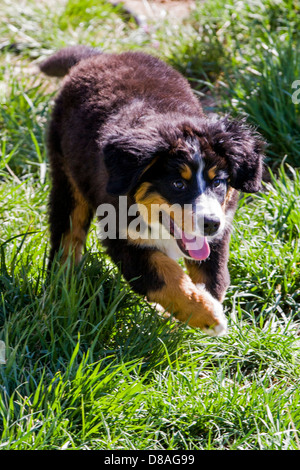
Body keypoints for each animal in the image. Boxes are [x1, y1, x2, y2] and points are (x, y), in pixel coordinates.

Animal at [39, 45, 264, 334]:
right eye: (178, 184)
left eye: (217, 183)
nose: (210, 223)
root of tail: (100, 56)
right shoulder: (120, 236)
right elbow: (164, 277)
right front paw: (209, 315)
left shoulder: (219, 228)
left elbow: (211, 274)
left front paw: (197, 311)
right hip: (67, 173)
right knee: (68, 234)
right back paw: (61, 290)